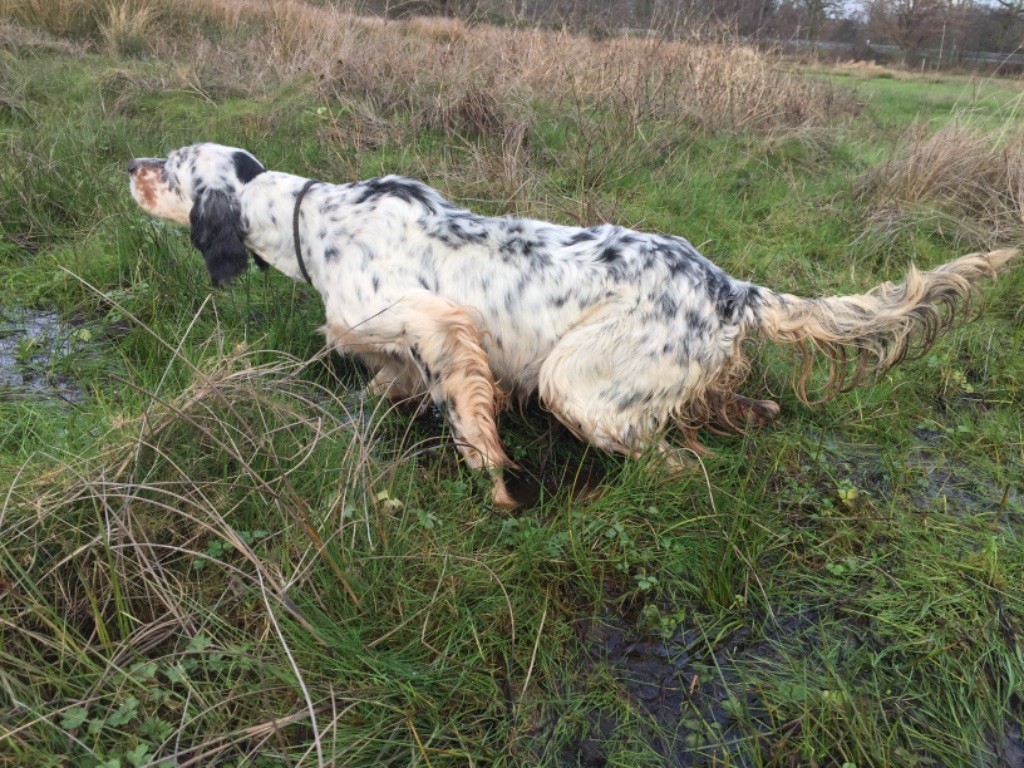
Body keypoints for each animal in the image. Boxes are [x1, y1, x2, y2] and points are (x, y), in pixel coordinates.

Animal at [128, 143, 1015, 507]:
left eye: (169, 166)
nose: (128, 166)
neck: (309, 219)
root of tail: (729, 286)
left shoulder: (439, 327)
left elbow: (468, 421)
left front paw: (498, 491)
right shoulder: (398, 345)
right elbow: (382, 388)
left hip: (579, 383)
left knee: (673, 458)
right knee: (719, 407)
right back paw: (753, 411)